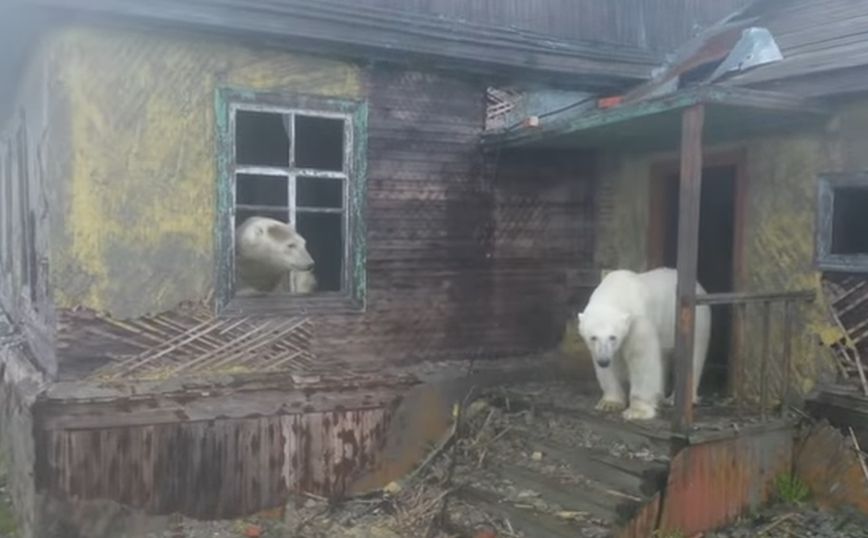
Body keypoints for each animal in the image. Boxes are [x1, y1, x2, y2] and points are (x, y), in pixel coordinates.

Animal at [576, 266, 712, 420]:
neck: (616, 290)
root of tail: (699, 286)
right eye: (593, 337)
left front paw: (636, 411)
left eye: (613, 337)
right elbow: (612, 366)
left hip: (696, 317)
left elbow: (642, 362)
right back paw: (659, 396)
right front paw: (609, 403)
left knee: (693, 355)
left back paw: (675, 399)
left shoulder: (638, 322)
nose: (603, 361)